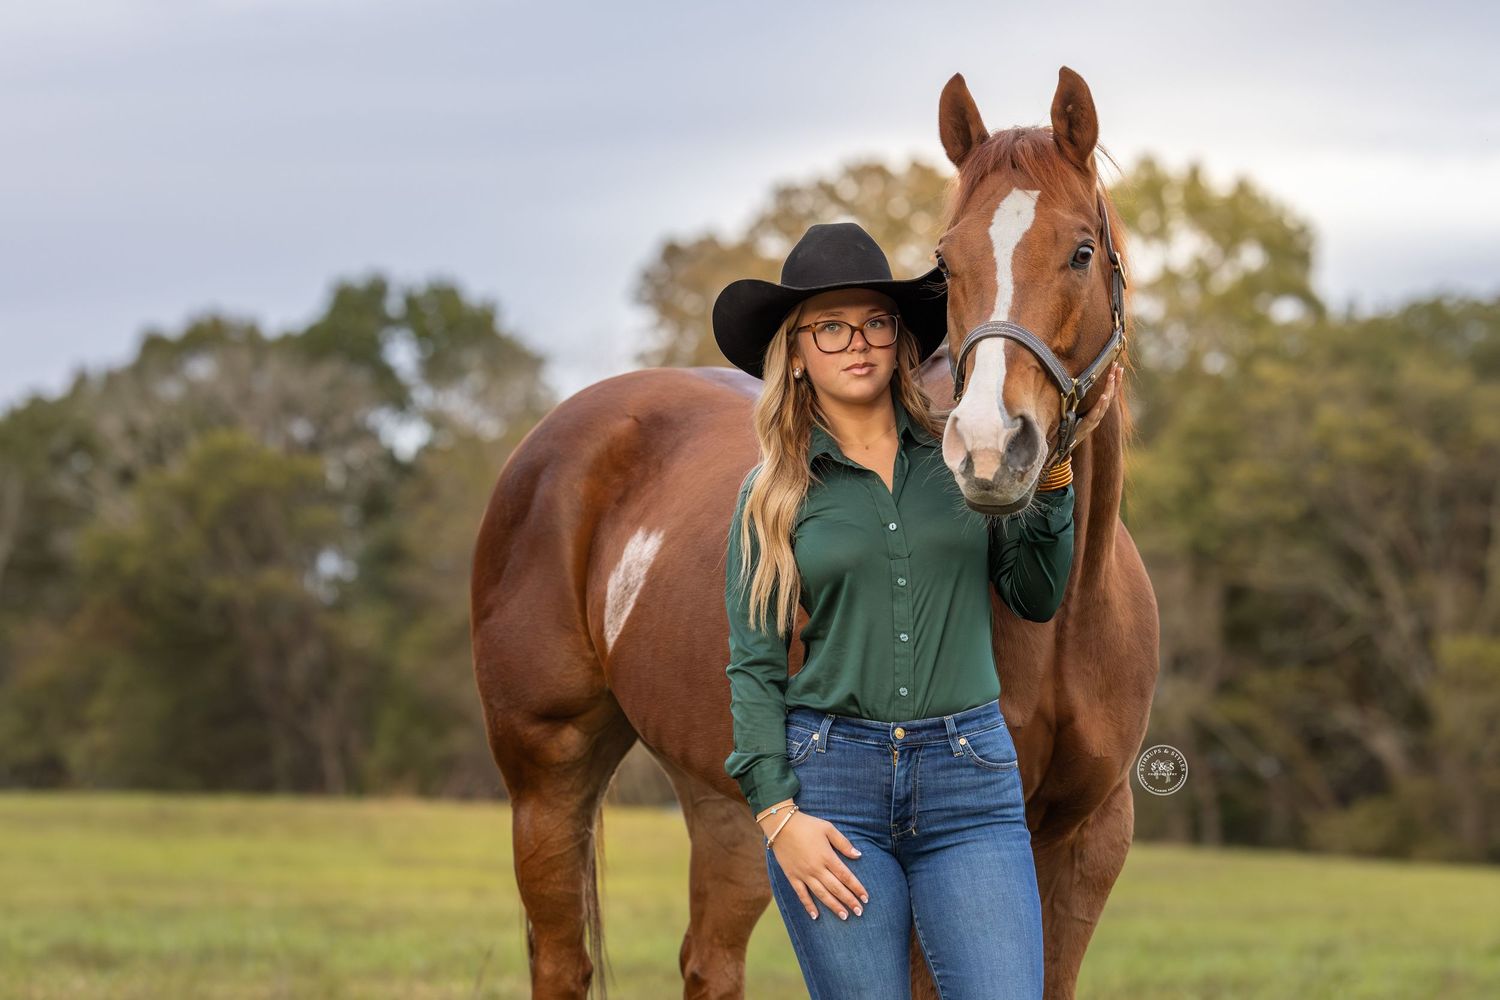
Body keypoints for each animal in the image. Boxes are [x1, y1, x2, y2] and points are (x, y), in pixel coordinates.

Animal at [470, 65, 1159, 1000]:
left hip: (730, 805)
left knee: (709, 961)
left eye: (1082, 251)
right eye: (947, 262)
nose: (988, 448)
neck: (1064, 620)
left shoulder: (1089, 841)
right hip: (547, 776)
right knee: (561, 958)